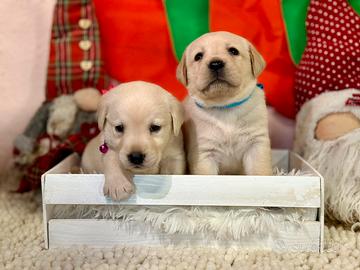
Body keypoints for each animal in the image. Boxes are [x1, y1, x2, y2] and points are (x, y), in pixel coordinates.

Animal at [176, 31, 272, 175]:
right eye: (198, 56)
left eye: (233, 51)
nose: (215, 64)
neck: (224, 105)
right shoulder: (204, 152)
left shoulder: (256, 143)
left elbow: (259, 171)